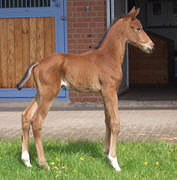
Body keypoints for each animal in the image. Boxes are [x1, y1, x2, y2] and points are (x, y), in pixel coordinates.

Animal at [17, 7, 154, 172]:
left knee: (26, 116)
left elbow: (107, 120)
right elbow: (115, 122)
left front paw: (106, 152)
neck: (108, 56)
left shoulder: (103, 93)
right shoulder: (110, 91)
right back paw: (44, 164)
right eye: (138, 28)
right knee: (37, 121)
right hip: (49, 94)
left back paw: (27, 161)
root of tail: (38, 62)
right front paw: (114, 162)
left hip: (40, 94)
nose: (151, 46)